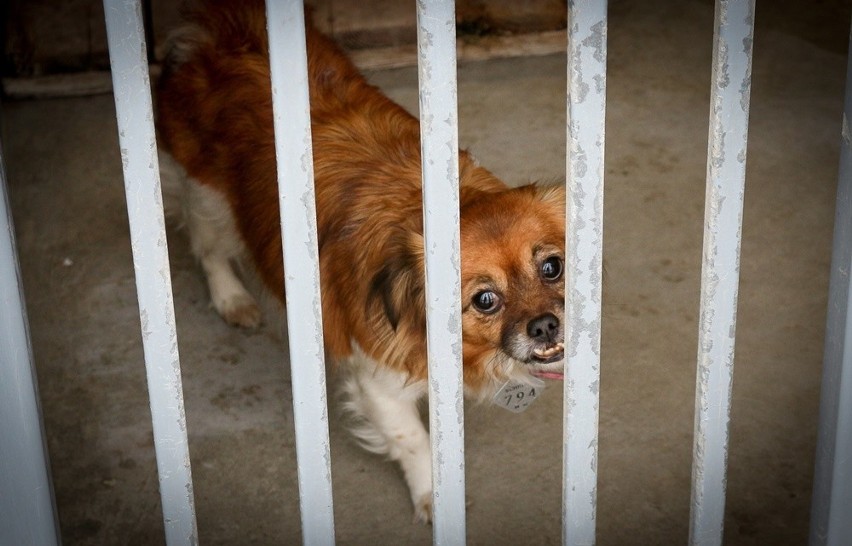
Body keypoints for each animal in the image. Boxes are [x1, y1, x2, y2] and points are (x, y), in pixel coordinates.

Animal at [155, 0, 564, 520]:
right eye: (484, 300)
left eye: (552, 267)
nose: (546, 325)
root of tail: (225, 31)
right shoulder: (379, 385)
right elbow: (414, 439)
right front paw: (431, 495)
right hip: (210, 198)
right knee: (207, 247)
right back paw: (232, 300)